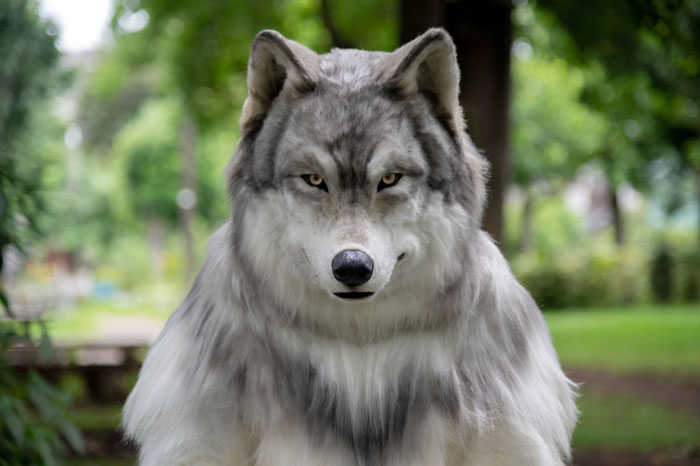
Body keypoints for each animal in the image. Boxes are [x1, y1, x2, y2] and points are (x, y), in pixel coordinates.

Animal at [122, 28, 577, 466]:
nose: (354, 267)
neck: (358, 348)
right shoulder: (199, 439)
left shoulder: (505, 436)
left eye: (390, 179)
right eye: (314, 179)